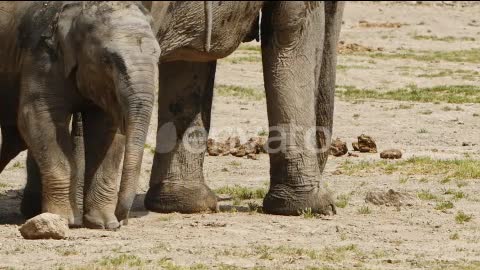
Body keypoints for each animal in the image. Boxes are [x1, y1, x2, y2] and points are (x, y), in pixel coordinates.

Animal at [0, 2, 161, 229]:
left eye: (158, 56)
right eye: (108, 60)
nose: (123, 219)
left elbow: (106, 130)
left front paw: (103, 223)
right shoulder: (41, 58)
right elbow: (38, 118)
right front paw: (64, 220)